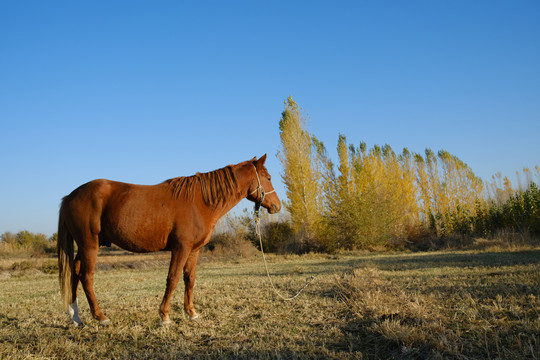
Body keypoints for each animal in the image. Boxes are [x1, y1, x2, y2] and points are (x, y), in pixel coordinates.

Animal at [57, 155, 280, 326]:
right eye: (268, 177)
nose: (277, 206)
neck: (200, 201)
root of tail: (70, 196)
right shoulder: (180, 248)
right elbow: (172, 279)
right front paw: (164, 316)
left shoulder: (194, 250)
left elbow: (189, 279)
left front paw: (191, 313)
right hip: (89, 244)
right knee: (86, 277)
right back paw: (101, 317)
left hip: (84, 246)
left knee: (75, 273)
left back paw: (75, 317)